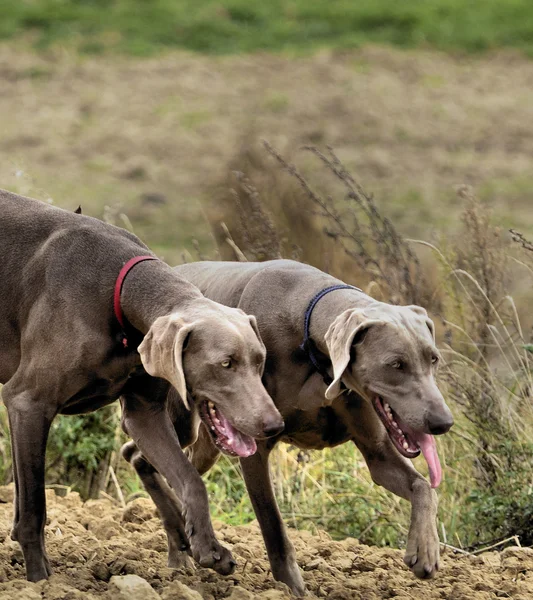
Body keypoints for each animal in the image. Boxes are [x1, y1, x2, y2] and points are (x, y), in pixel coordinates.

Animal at [0, 189, 282, 580]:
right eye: (226, 363)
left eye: (260, 361)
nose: (274, 426)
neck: (122, 294)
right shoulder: (28, 402)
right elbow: (33, 510)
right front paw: (40, 581)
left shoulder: (145, 414)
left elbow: (190, 479)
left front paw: (209, 547)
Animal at [124, 258, 454, 596]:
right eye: (396, 364)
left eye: (433, 359)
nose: (443, 422)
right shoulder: (256, 448)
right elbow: (273, 525)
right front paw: (291, 589)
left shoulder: (377, 453)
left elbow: (423, 487)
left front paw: (426, 551)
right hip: (180, 418)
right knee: (140, 452)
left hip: (208, 439)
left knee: (144, 457)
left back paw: (180, 545)